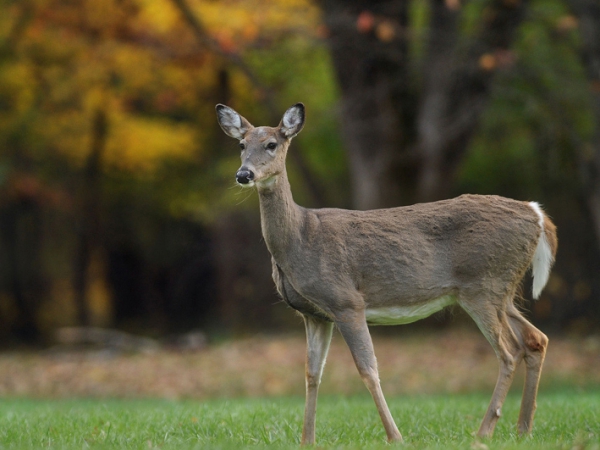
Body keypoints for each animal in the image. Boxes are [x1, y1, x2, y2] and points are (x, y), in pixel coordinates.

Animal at [216, 101, 556, 442]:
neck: (301, 237)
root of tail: (536, 214)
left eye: (272, 144)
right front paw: (307, 441)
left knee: (509, 352)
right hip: (500, 289)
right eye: (242, 144)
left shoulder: (346, 301)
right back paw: (523, 429)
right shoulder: (314, 314)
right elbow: (312, 374)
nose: (244, 174)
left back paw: (484, 432)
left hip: (483, 285)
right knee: (535, 339)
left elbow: (368, 370)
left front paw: (395, 437)